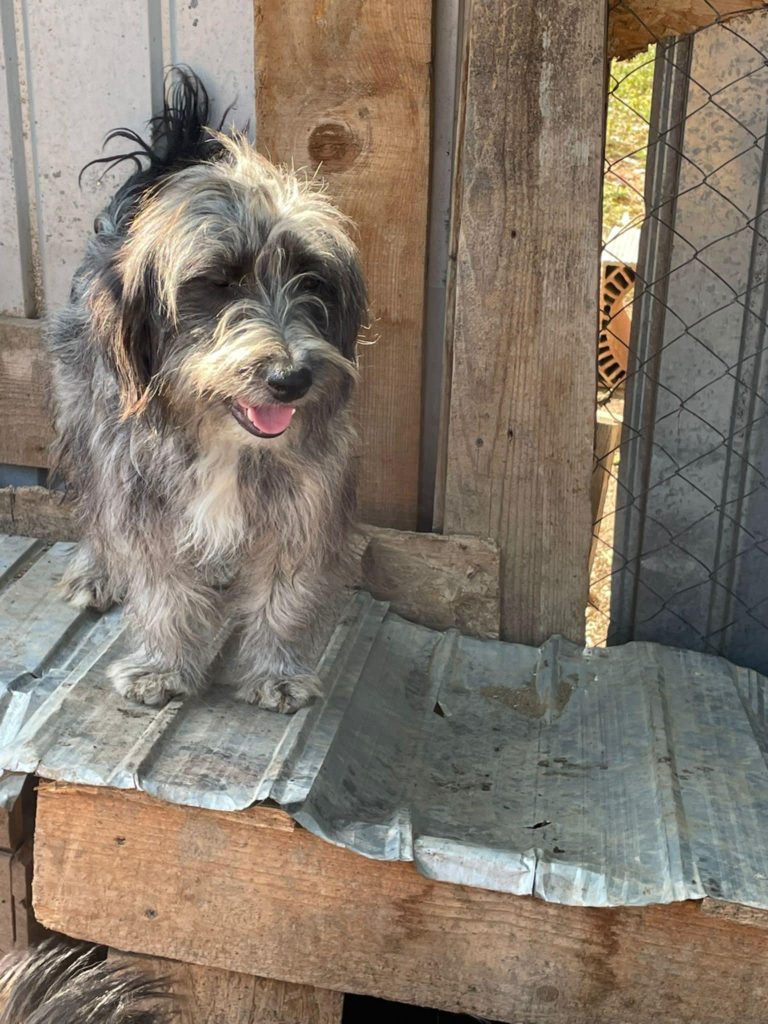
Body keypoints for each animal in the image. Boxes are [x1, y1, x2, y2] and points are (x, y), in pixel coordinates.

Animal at [47, 68, 367, 712]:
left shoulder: (303, 500)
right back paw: (97, 569)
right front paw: (162, 666)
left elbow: (284, 594)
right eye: (218, 283)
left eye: (312, 281)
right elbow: (162, 588)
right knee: (92, 504)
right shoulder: (139, 491)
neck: (221, 439)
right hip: (80, 416)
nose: (291, 379)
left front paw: (277, 670)